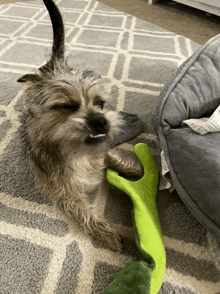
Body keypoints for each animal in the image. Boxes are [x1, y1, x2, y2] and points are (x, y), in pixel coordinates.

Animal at [18, 0, 143, 250]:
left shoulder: (102, 152)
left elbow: (112, 156)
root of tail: (53, 66)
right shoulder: (64, 191)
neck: (76, 152)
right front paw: (105, 233)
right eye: (67, 106)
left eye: (100, 103)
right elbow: (83, 212)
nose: (102, 121)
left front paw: (134, 168)